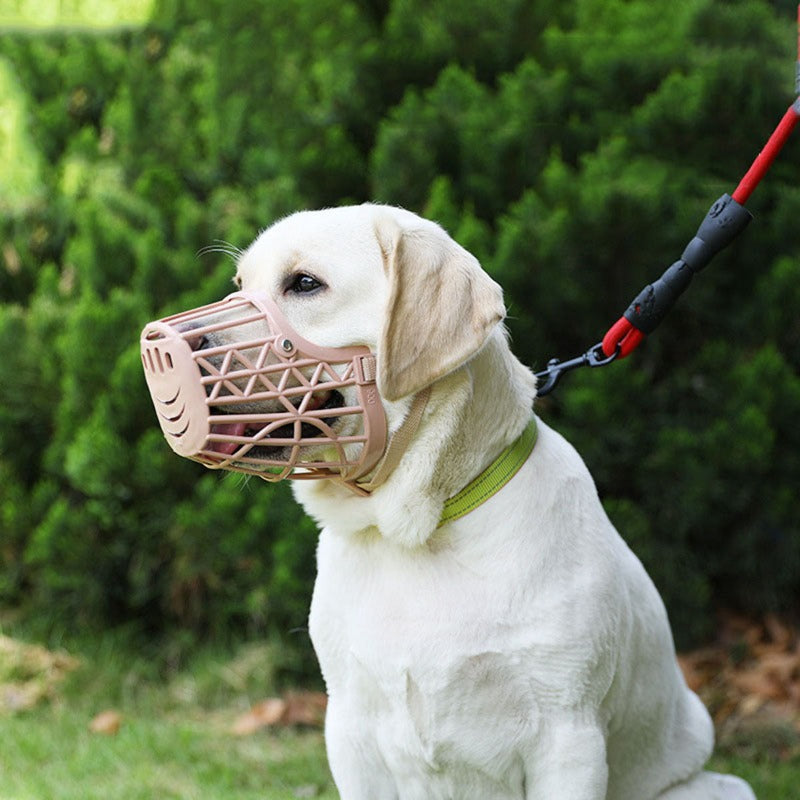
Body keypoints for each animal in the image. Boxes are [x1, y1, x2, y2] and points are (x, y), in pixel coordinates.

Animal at [225, 203, 756, 796]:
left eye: (304, 284)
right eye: (239, 286)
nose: (178, 344)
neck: (419, 530)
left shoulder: (568, 737)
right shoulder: (350, 731)